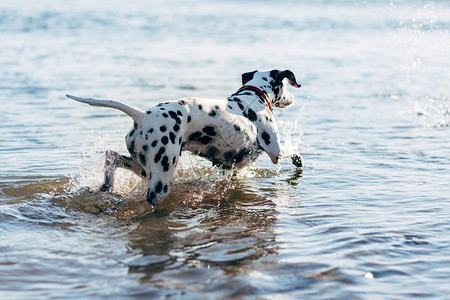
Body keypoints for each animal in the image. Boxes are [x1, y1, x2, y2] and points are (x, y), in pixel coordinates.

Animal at [67, 69, 302, 205]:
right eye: (286, 85)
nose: (292, 98)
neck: (252, 98)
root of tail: (142, 116)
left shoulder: (229, 167)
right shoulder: (274, 151)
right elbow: (291, 149)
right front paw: (298, 159)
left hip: (142, 168)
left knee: (111, 156)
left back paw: (107, 185)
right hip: (161, 180)